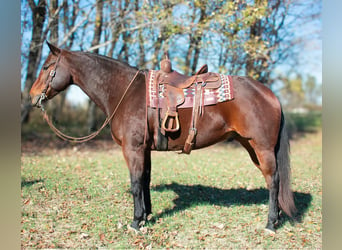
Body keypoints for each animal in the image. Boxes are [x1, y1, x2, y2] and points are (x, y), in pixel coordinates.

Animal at [30, 41, 296, 232]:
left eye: (46, 67)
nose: (33, 96)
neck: (125, 92)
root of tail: (269, 93)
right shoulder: (144, 149)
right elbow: (145, 180)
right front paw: (146, 215)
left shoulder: (133, 148)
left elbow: (135, 183)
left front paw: (136, 221)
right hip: (252, 147)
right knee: (273, 180)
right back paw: (277, 217)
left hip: (261, 147)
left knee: (273, 181)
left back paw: (270, 224)